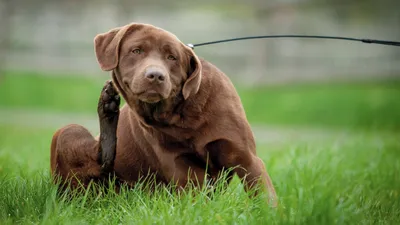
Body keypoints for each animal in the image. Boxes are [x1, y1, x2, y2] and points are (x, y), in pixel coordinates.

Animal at [49, 22, 276, 206]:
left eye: (172, 57)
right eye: (136, 50)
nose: (155, 75)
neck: (181, 115)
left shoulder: (245, 158)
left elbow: (263, 193)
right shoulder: (180, 168)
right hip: (67, 133)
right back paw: (107, 106)